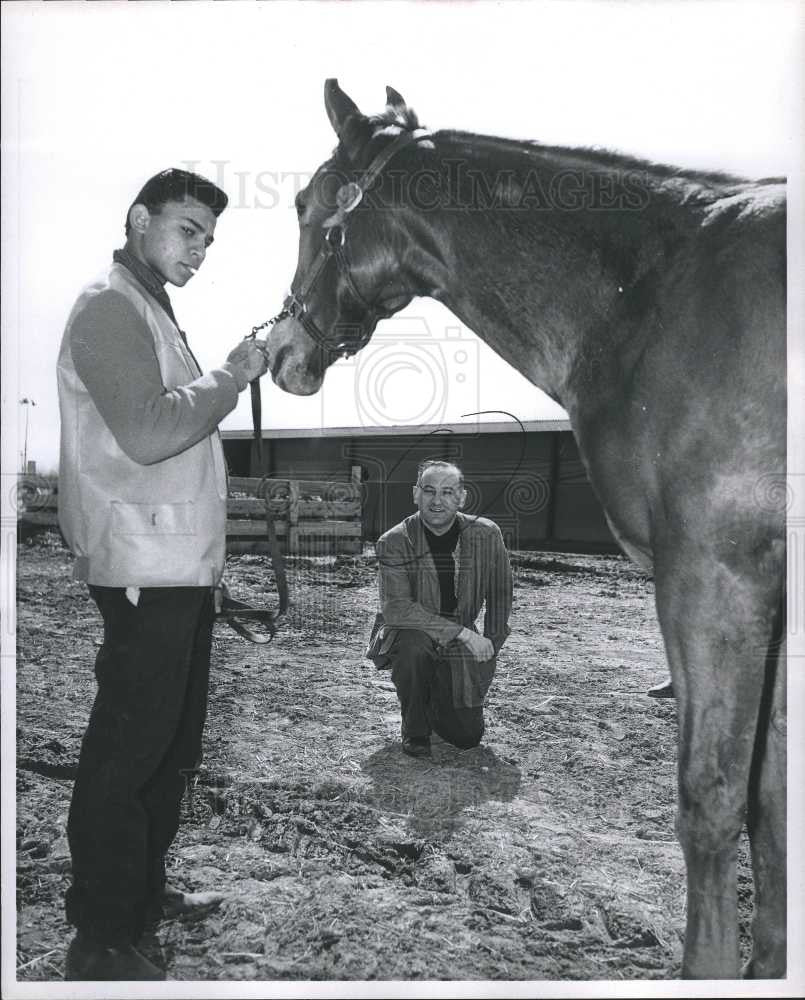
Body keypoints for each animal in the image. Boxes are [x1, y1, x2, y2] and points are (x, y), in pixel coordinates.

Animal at [264, 80, 784, 976]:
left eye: (305, 203)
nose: (281, 355)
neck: (655, 295)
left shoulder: (716, 575)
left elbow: (714, 799)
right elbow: (774, 805)